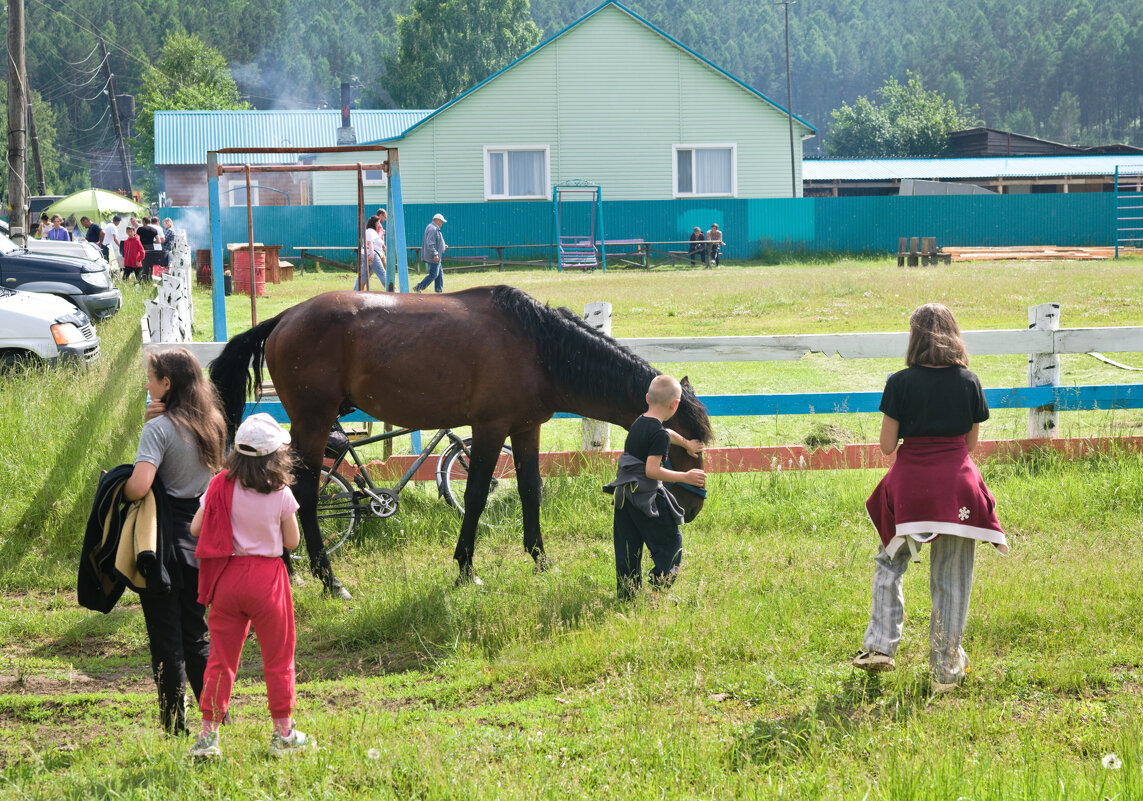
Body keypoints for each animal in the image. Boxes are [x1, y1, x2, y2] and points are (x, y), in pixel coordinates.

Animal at [210, 285, 708, 589]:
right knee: (305, 494)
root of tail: (285, 318)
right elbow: (476, 495)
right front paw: (466, 568)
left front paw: (541, 559)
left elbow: (530, 490)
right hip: (313, 424)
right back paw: (328, 579)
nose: (693, 507)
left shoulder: (525, 428)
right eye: (685, 448)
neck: (539, 347)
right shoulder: (489, 428)